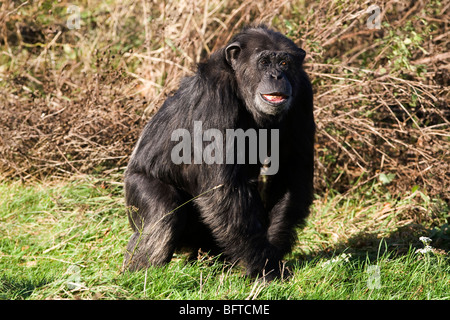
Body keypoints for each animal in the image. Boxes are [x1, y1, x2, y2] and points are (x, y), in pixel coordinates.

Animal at [122, 25, 312, 280]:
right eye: (264, 62)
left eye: (284, 63)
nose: (276, 76)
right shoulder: (215, 96)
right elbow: (222, 188)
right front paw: (266, 268)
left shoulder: (303, 95)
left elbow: (291, 173)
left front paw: (273, 252)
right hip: (136, 188)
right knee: (164, 213)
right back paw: (139, 276)